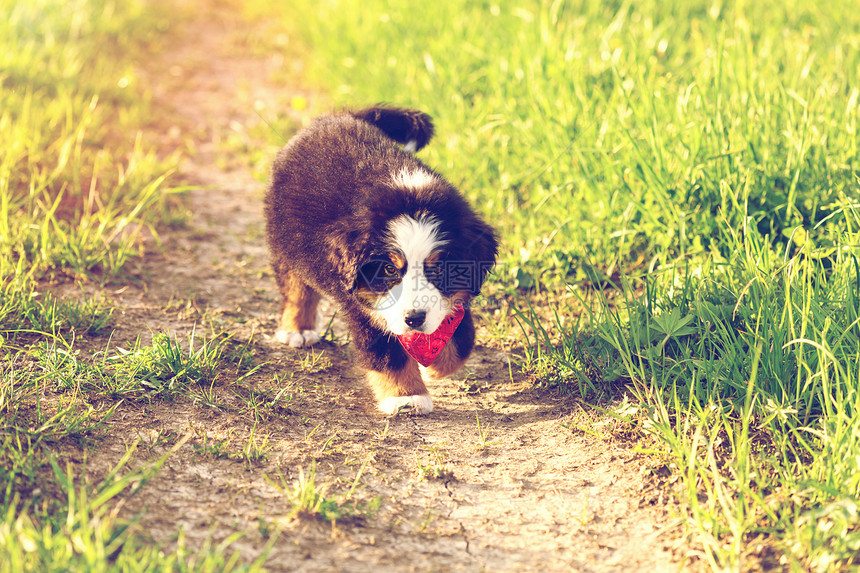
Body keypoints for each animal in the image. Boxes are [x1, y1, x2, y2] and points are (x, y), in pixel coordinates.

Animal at [264, 105, 498, 414]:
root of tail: (338, 115)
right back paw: (298, 329)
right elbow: (388, 355)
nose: (414, 318)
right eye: (389, 269)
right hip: (285, 242)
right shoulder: (364, 306)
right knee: (295, 288)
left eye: (440, 269)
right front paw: (406, 396)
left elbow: (461, 340)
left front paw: (433, 366)